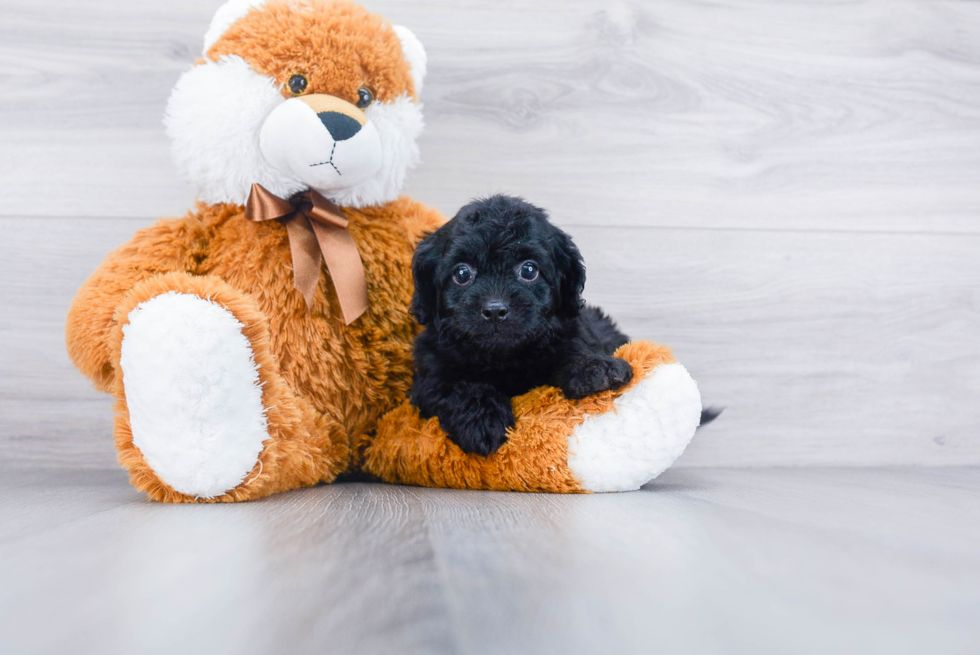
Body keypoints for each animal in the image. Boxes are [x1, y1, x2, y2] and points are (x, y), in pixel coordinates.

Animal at [408, 196, 632, 456]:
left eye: (528, 270)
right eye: (462, 273)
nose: (495, 310)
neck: (503, 357)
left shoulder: (569, 331)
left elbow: (575, 348)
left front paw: (596, 368)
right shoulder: (428, 376)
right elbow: (456, 386)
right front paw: (483, 420)